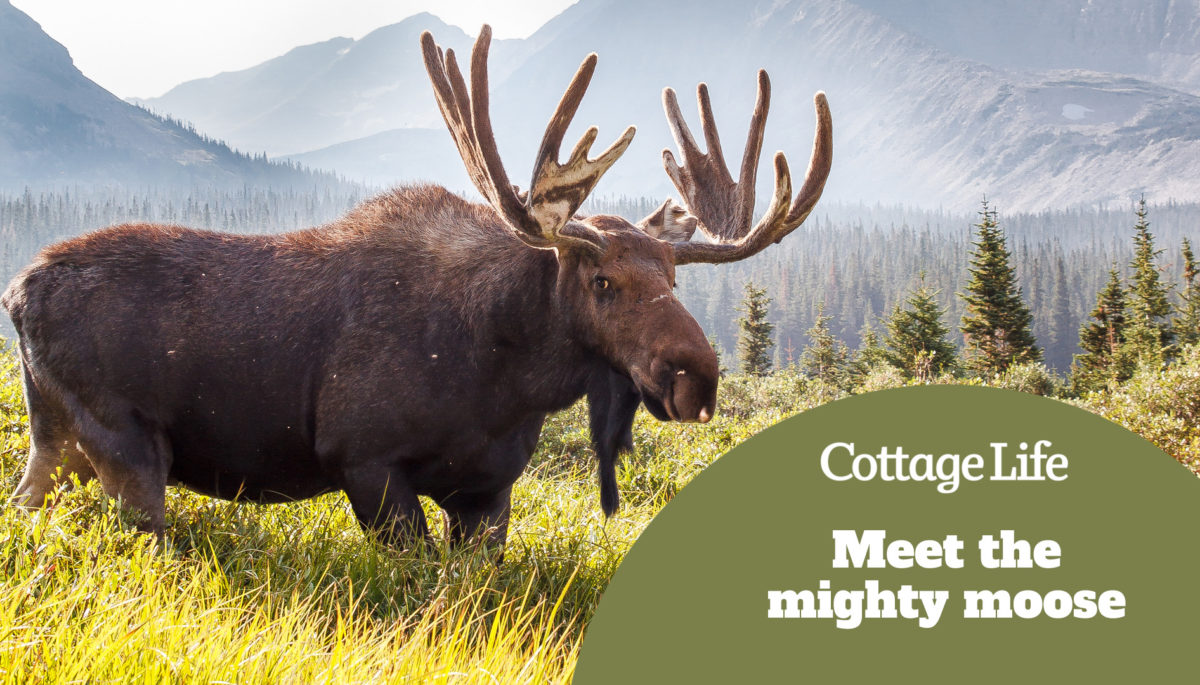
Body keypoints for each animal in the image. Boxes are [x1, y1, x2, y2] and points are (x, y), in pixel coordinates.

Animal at [2, 25, 831, 550]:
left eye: (673, 276)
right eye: (601, 280)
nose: (698, 376)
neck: (509, 378)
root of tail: (16, 293)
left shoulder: (488, 491)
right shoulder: (364, 459)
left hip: (57, 439)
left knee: (26, 507)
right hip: (124, 440)